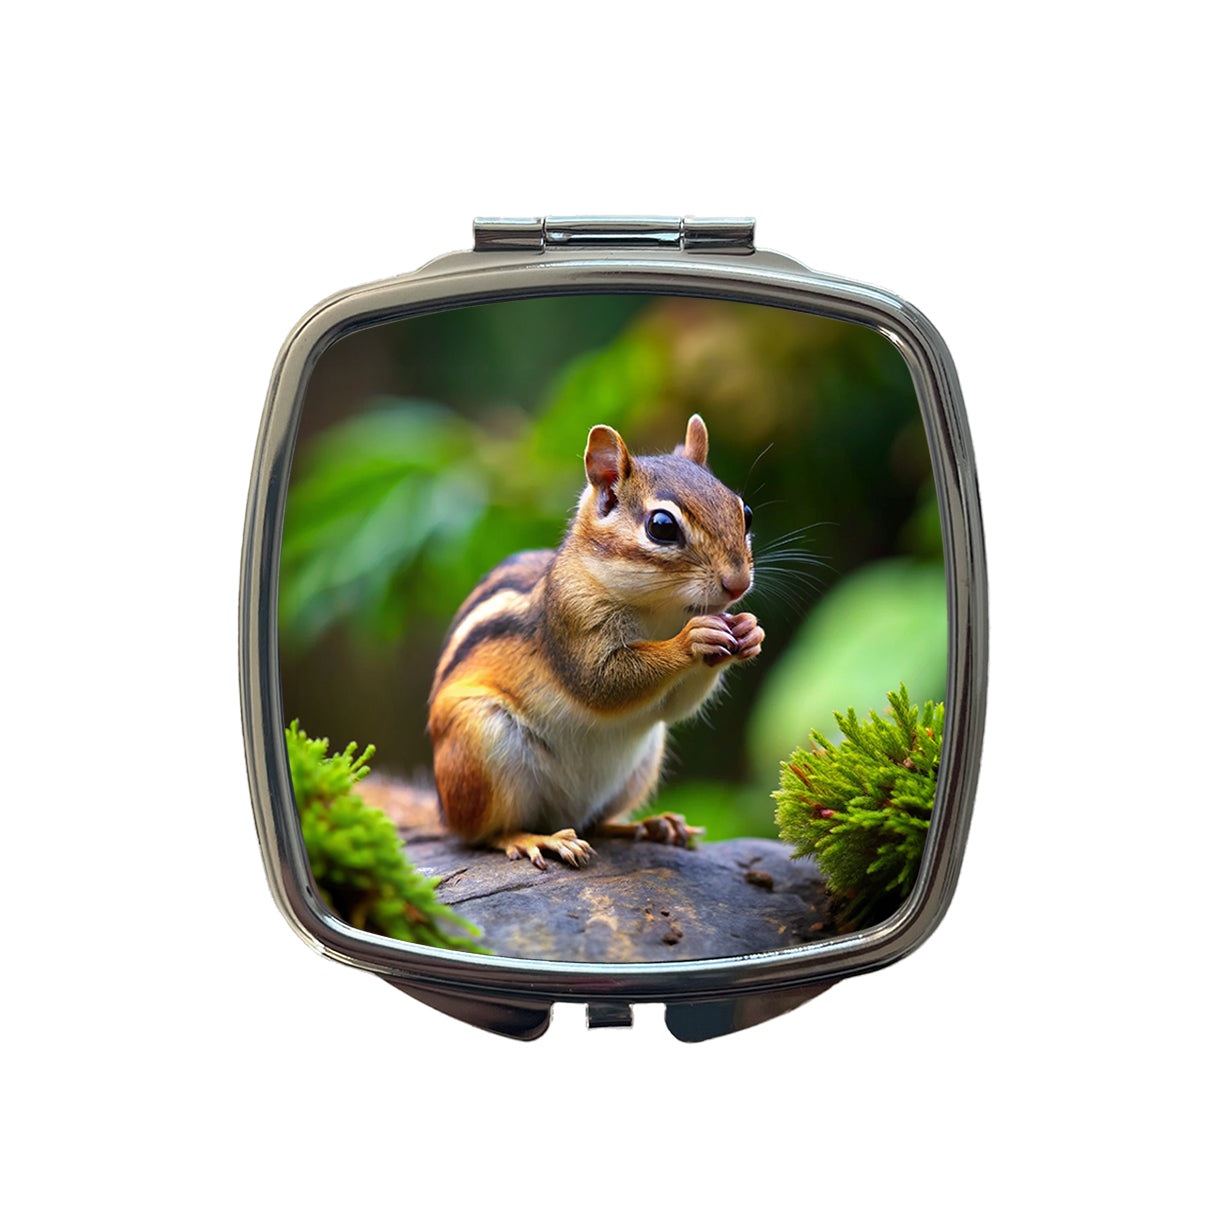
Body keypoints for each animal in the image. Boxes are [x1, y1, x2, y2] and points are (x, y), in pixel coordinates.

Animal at [427, 414, 763, 868]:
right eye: (661, 527)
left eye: (745, 513)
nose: (738, 583)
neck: (661, 611)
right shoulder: (570, 622)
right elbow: (602, 682)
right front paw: (691, 640)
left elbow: (675, 706)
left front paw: (749, 631)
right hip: (479, 744)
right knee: (482, 834)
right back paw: (536, 839)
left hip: (642, 764)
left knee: (596, 822)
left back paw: (650, 825)